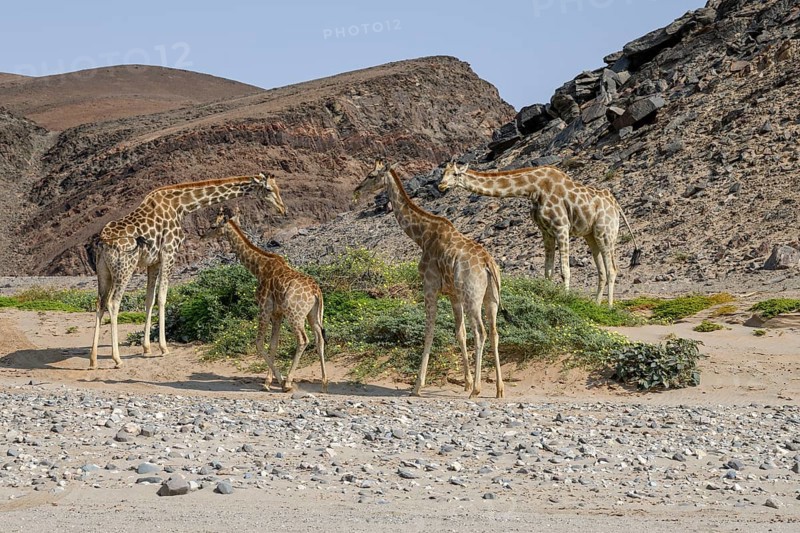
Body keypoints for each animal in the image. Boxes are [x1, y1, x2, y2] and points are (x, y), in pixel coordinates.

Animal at [88, 173, 286, 370]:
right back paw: (116, 359)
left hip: (104, 272)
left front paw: (146, 348)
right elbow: (162, 298)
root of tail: (103, 241)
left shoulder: (153, 262)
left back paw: (93, 359)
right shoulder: (169, 253)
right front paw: (163, 348)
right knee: (113, 303)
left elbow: (149, 300)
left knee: (100, 303)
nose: (283, 210)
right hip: (124, 268)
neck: (181, 206)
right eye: (269, 189)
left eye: (278, 188)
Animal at [204, 208, 327, 393]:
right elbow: (273, 345)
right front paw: (269, 381)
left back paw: (289, 383)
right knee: (320, 339)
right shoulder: (277, 313)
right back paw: (324, 383)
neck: (258, 267)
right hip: (313, 315)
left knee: (303, 340)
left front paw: (278, 381)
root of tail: (316, 292)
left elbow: (259, 343)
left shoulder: (264, 308)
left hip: (295, 314)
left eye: (213, 225)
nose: (204, 238)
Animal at [354, 159, 504, 398]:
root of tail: (488, 264)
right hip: (491, 298)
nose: (357, 190)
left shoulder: (429, 286)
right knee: (494, 332)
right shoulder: (453, 294)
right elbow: (459, 333)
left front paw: (417, 386)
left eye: (371, 175)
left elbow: (429, 331)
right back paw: (499, 389)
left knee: (480, 332)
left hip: (472, 297)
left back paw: (478, 390)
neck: (421, 236)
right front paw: (466, 382)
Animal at [438, 162, 641, 307]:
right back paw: (596, 305)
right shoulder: (546, 231)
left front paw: (565, 300)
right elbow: (548, 271)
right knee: (602, 270)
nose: (441, 185)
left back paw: (609, 307)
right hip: (591, 235)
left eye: (455, 174)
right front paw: (548, 297)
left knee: (612, 269)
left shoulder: (562, 227)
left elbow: (564, 270)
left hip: (605, 232)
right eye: (443, 173)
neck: (534, 189)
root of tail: (616, 205)